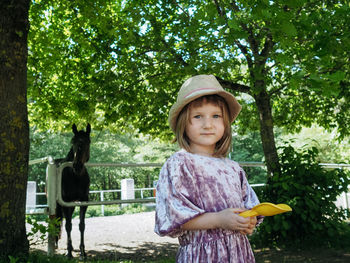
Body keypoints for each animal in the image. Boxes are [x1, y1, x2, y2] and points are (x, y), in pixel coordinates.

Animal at [55, 124, 91, 260]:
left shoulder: (84, 201)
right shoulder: (65, 203)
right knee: (58, 221)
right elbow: (68, 226)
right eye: (73, 141)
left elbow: (81, 225)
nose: (77, 166)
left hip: (72, 205)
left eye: (88, 141)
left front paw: (82, 252)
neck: (75, 176)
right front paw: (69, 253)